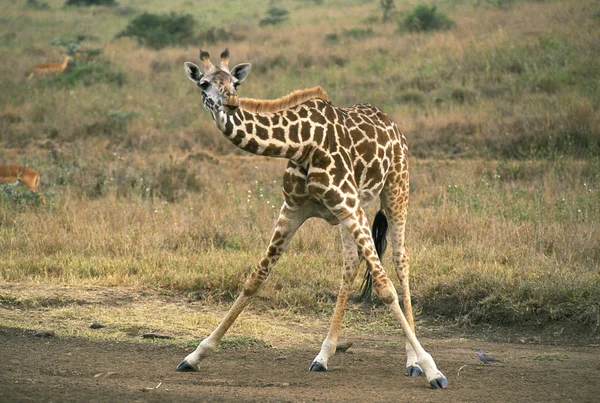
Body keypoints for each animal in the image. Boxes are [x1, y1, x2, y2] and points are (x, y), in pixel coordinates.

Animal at [178, 49, 446, 390]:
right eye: (203, 83)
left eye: (234, 82)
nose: (231, 102)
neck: (301, 143)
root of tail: (393, 124)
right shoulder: (293, 209)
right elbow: (255, 278)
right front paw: (195, 355)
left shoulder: (346, 204)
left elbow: (386, 288)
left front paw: (432, 369)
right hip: (354, 209)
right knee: (350, 263)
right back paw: (324, 355)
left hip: (396, 189)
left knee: (400, 258)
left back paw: (411, 361)